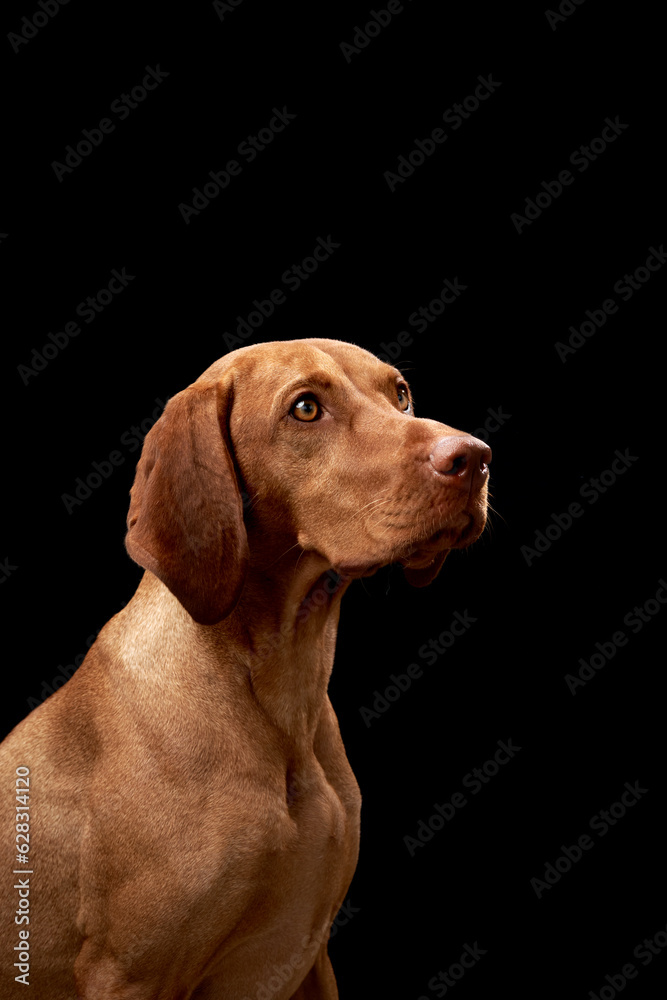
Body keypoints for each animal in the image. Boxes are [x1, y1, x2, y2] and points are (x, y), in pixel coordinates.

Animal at [0, 340, 490, 996]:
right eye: (305, 408)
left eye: (402, 393)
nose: (474, 457)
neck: (281, 700)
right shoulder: (129, 973)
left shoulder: (309, 956)